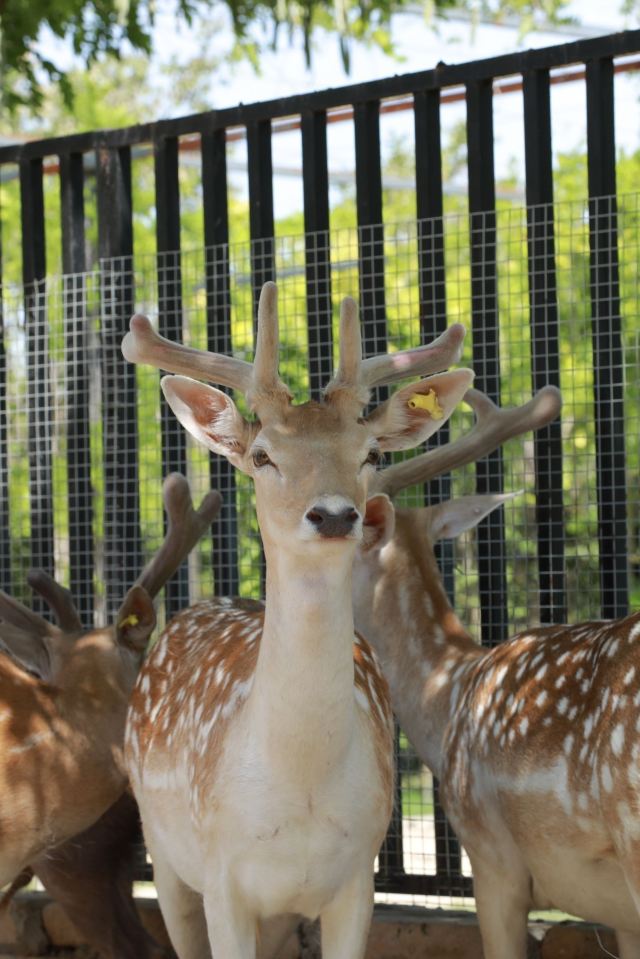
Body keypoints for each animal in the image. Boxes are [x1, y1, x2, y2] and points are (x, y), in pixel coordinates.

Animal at [121, 280, 474, 959]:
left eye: (369, 453)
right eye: (262, 455)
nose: (334, 514)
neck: (301, 792)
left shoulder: (357, 879)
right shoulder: (222, 877)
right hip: (162, 850)